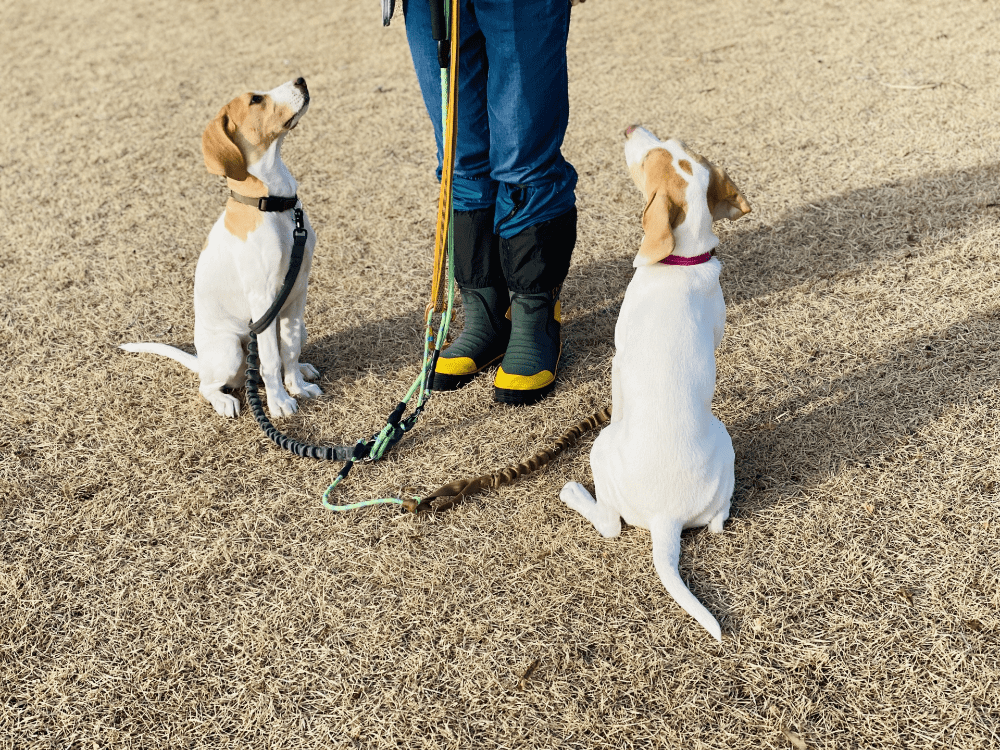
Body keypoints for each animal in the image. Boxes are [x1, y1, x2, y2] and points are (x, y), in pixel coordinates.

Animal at [122, 79, 320, 420]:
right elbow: (271, 361)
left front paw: (297, 386)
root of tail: (202, 360)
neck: (272, 204)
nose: (301, 80)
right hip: (229, 349)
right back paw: (225, 401)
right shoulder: (263, 298)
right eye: (256, 100)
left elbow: (290, 347)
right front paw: (279, 402)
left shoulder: (297, 292)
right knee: (210, 385)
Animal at [564, 128, 752, 640]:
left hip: (601, 448)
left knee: (609, 525)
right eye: (671, 143)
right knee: (719, 523)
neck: (681, 261)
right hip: (724, 448)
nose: (631, 128)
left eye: (649, 157)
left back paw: (574, 494)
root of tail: (668, 520)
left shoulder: (618, 360)